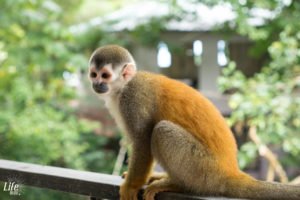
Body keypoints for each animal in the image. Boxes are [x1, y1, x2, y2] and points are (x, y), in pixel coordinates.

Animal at [88, 45, 300, 200]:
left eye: (105, 75)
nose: (96, 84)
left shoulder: (132, 98)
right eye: (93, 74)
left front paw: (131, 186)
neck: (123, 87)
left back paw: (178, 184)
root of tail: (230, 172)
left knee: (161, 130)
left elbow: (142, 141)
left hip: (204, 171)